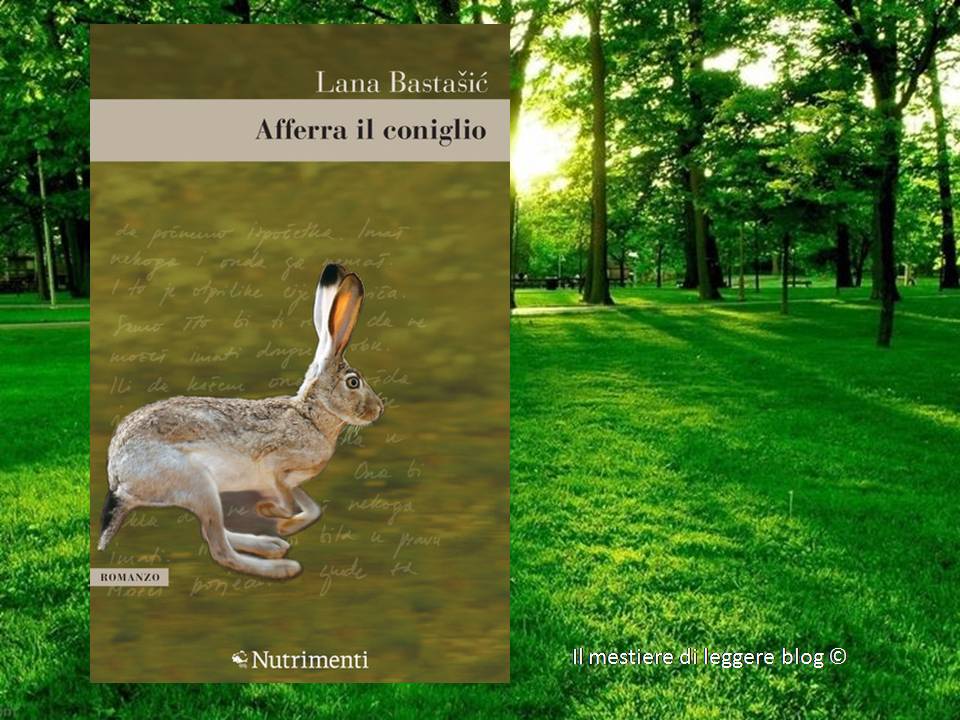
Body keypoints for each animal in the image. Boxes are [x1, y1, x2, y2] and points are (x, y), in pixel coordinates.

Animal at [97, 264, 384, 579]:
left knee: (213, 532)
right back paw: (282, 567)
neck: (310, 416)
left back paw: (272, 545)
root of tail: (118, 475)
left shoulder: (292, 481)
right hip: (199, 484)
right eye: (353, 382)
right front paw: (274, 514)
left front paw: (284, 525)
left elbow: (312, 509)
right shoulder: (274, 466)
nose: (378, 409)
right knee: (218, 547)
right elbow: (286, 500)